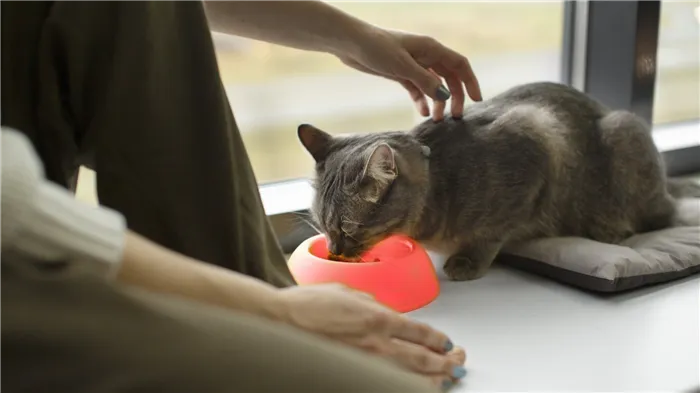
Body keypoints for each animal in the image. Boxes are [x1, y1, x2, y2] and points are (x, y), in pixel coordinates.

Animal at [296, 81, 700, 280]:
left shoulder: (536, 142)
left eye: (349, 229)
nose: (334, 250)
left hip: (624, 131)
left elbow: (490, 234)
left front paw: (466, 261)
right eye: (322, 226)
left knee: (658, 215)